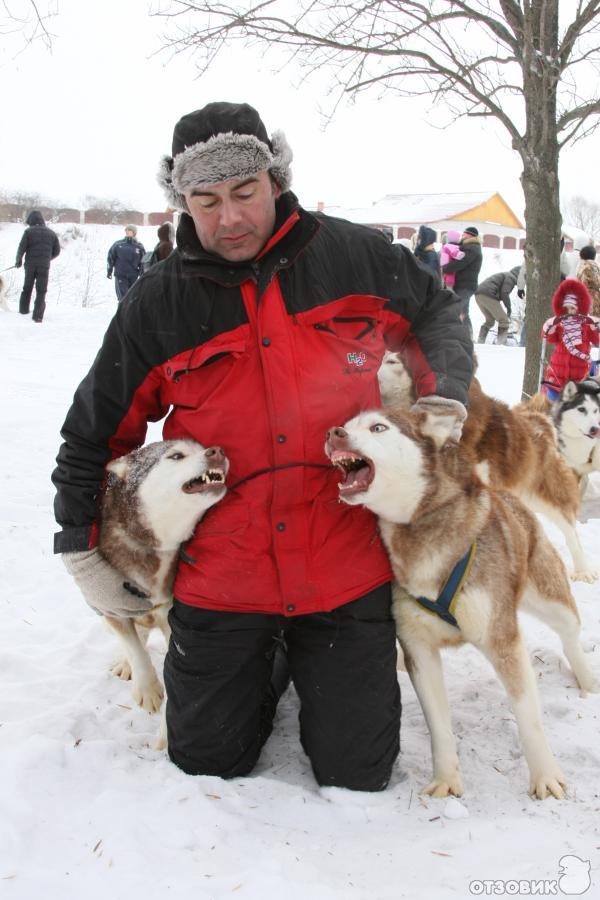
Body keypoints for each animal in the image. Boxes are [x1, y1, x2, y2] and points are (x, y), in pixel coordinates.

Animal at [99, 438, 229, 724]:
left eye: (200, 448)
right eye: (177, 456)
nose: (217, 451)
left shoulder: (170, 616)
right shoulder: (110, 606)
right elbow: (133, 646)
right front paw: (147, 687)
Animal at [326, 408, 596, 800]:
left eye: (378, 427)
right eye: (348, 423)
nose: (335, 433)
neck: (419, 526)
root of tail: (504, 495)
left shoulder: (503, 641)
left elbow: (529, 720)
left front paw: (545, 777)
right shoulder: (419, 648)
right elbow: (439, 725)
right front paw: (446, 779)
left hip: (550, 597)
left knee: (570, 635)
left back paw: (588, 681)